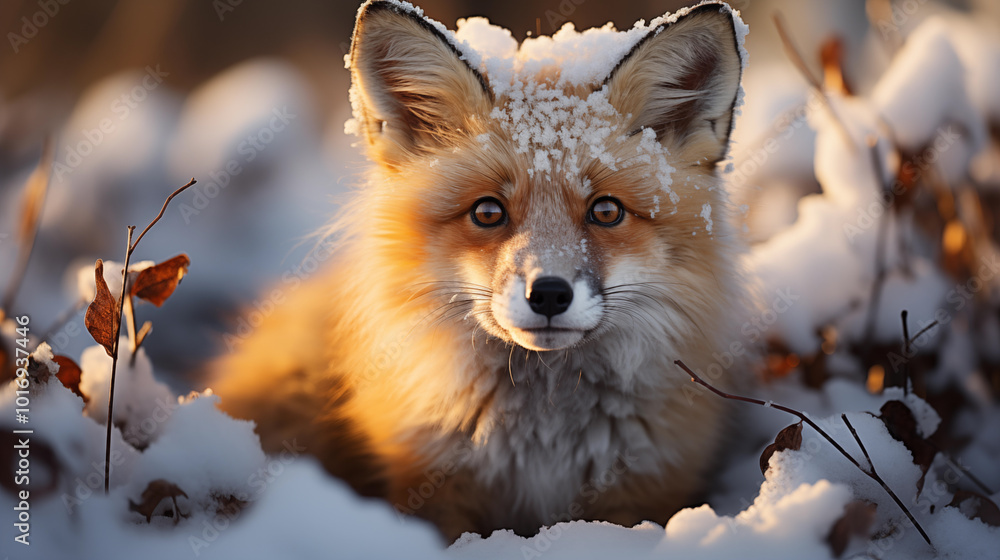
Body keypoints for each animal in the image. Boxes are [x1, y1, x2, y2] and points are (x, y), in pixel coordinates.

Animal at [211, 0, 750, 541]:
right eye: (488, 212)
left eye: (606, 211)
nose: (548, 294)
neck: (544, 436)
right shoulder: (429, 485)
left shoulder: (643, 491)